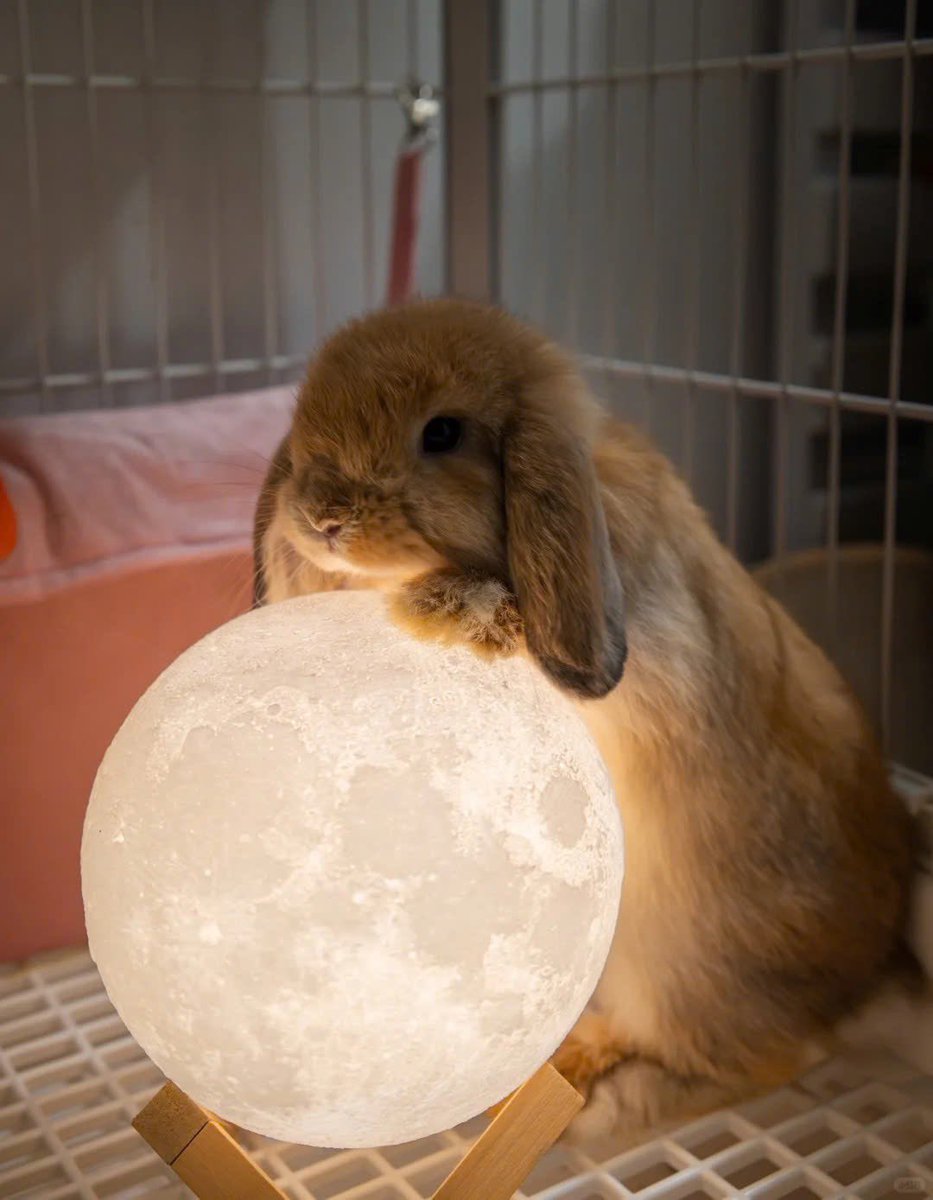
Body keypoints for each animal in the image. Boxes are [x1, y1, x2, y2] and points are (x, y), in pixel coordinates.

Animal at [253, 298, 923, 1145]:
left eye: (442, 433)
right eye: (304, 418)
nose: (322, 519)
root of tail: (868, 975)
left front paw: (434, 607)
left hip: (681, 963)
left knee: (762, 1054)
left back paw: (597, 1093)